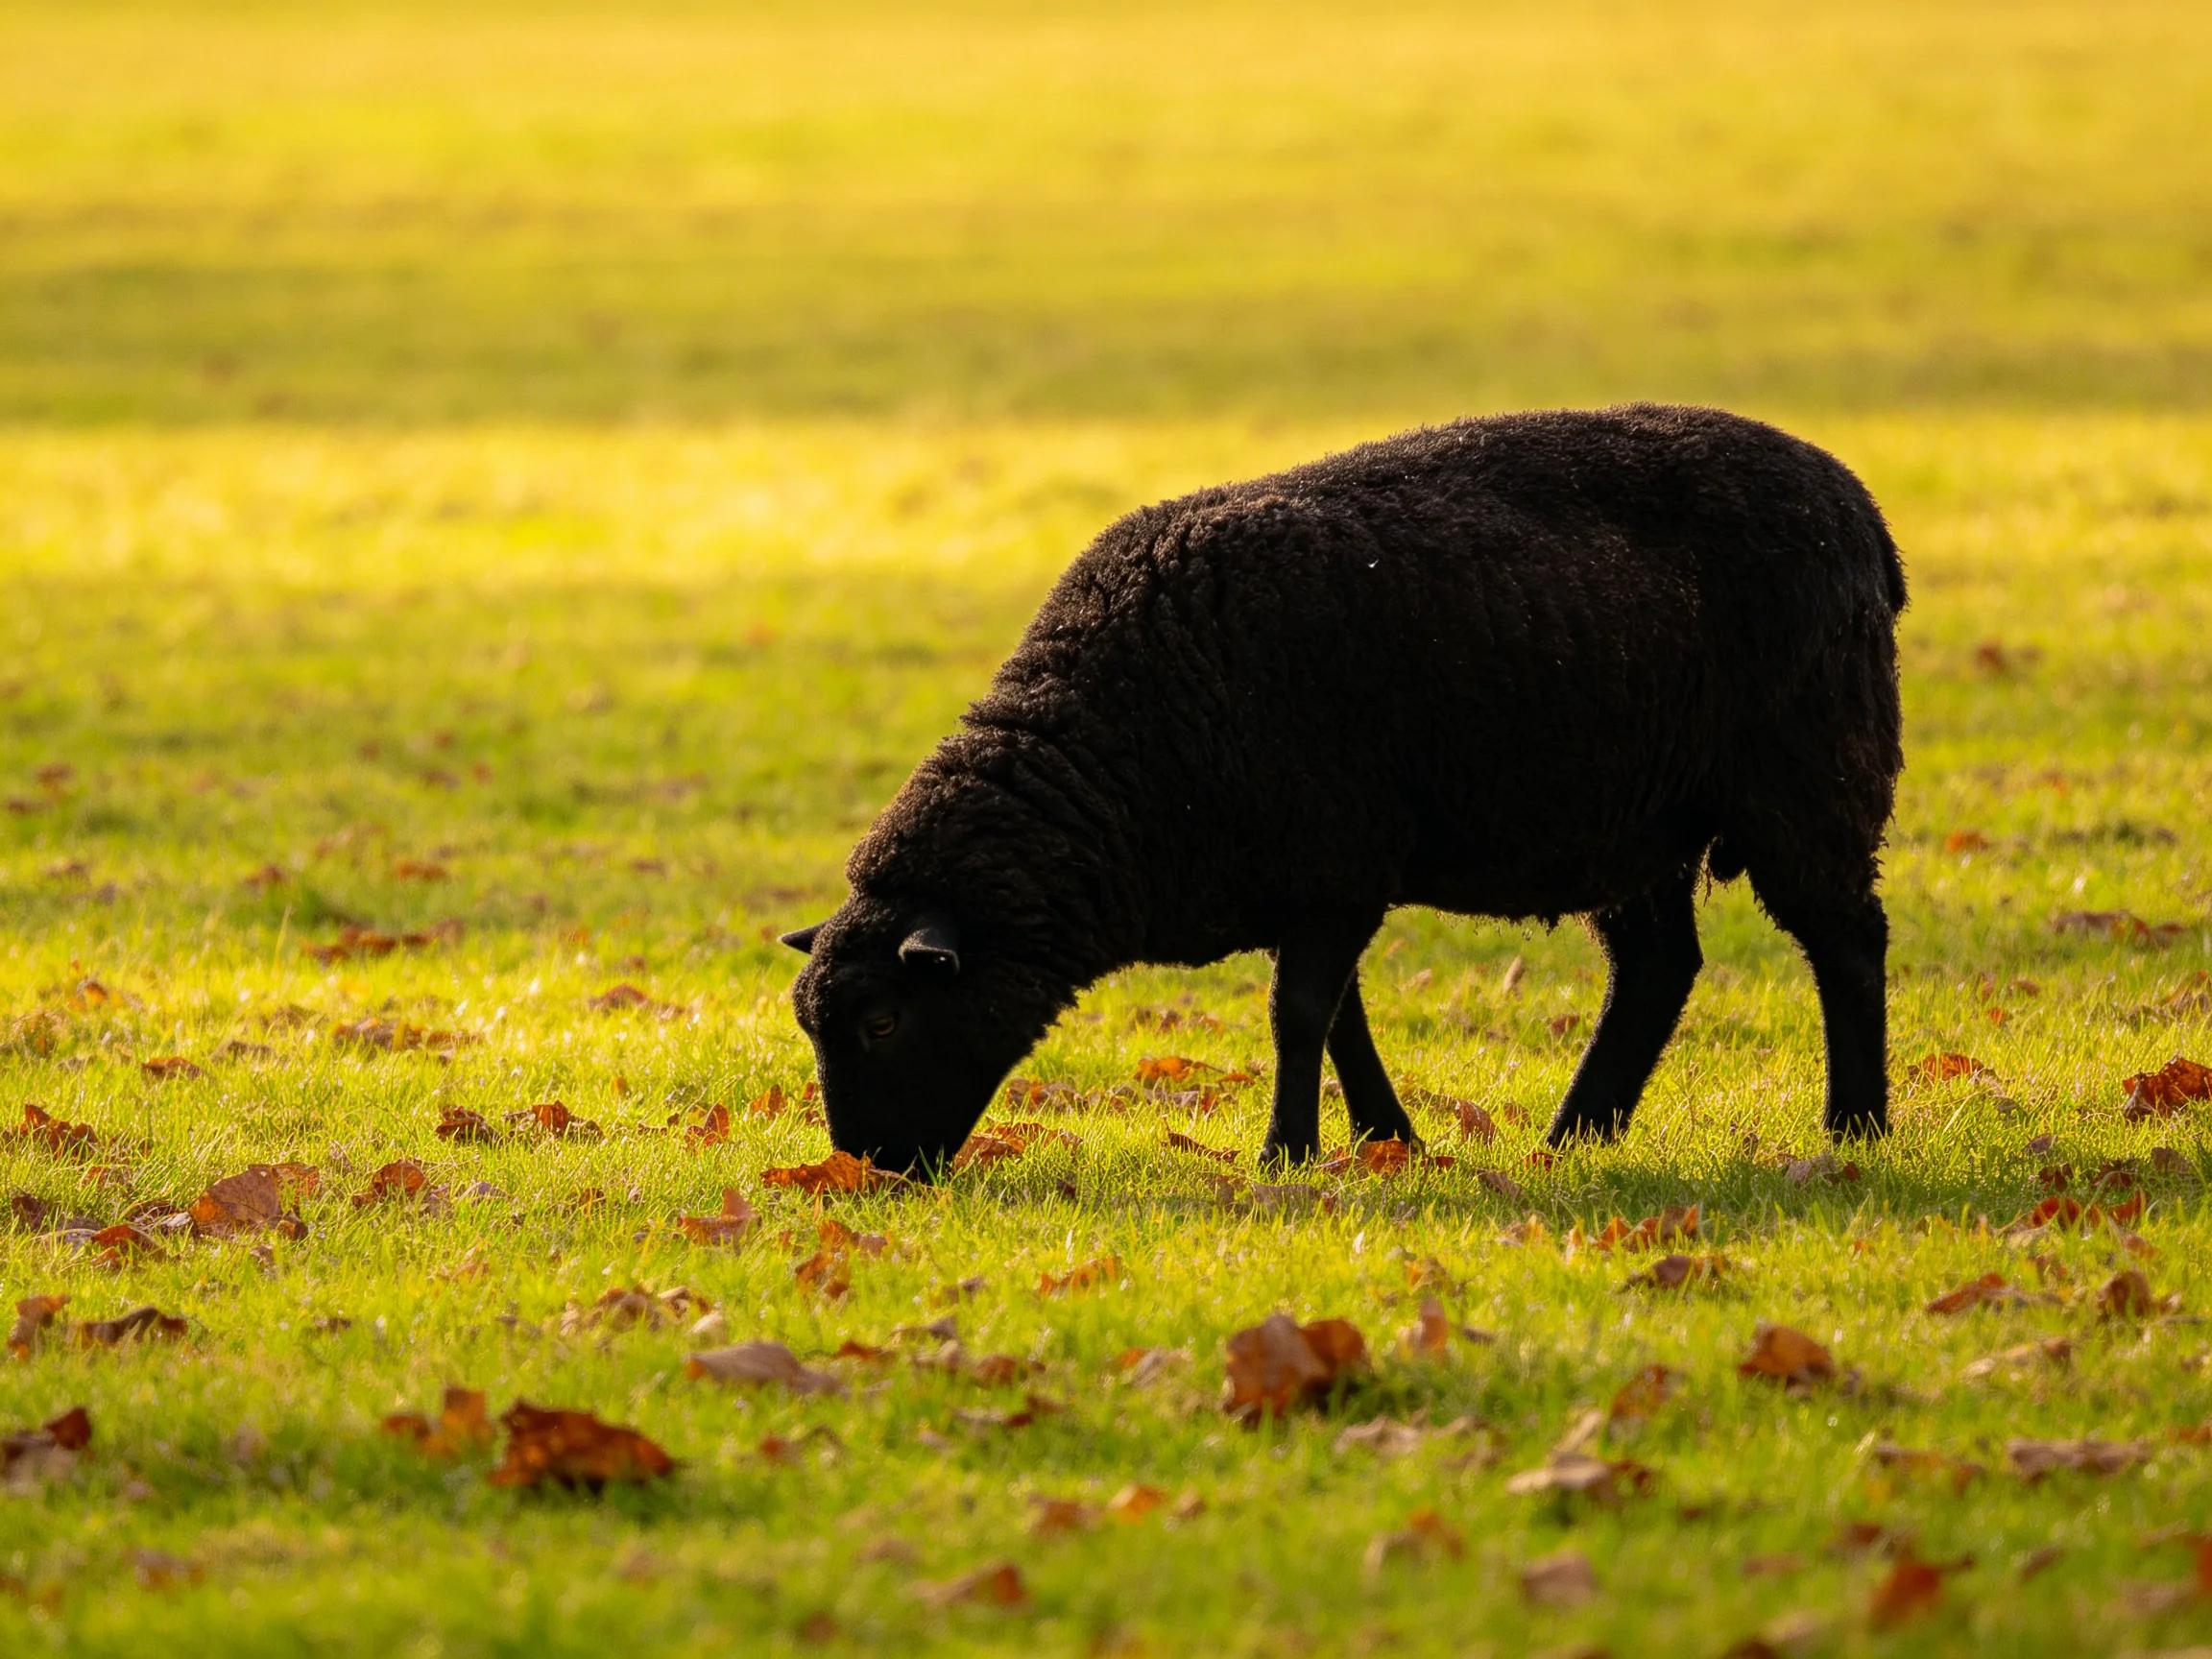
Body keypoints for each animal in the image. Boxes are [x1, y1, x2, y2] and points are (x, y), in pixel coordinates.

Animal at [782, 404, 1905, 1174]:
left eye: (882, 1023)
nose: (867, 1171)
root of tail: (1857, 508)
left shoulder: (1334, 861)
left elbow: (1299, 1013)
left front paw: (1289, 1152)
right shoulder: (1318, 874)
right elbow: (1341, 1018)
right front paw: (1384, 1138)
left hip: (1811, 776)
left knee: (1847, 943)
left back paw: (1854, 1128)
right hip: (1635, 822)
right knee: (1659, 970)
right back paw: (1575, 1138)